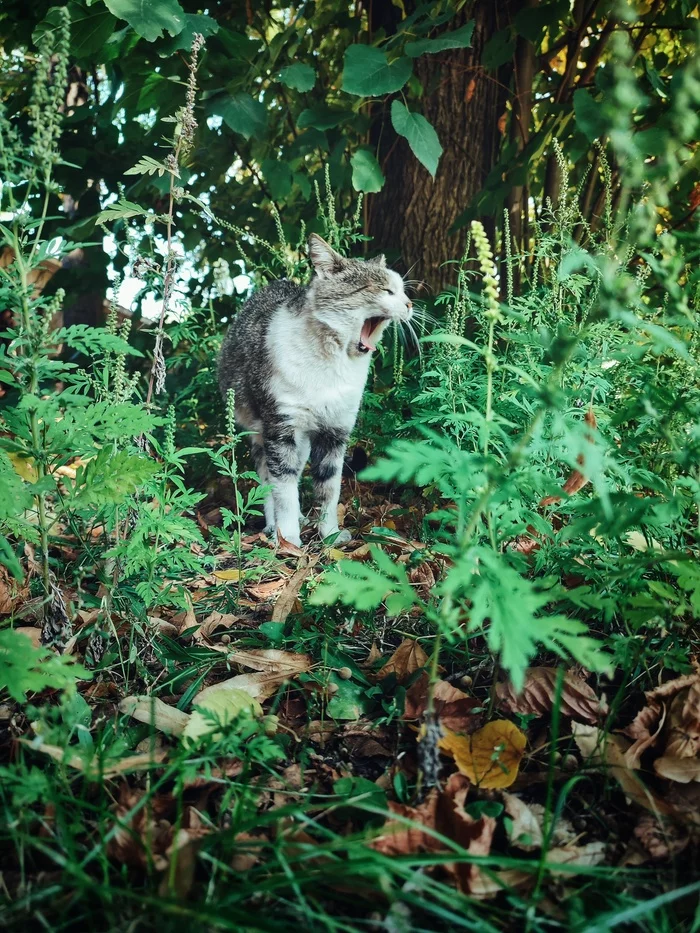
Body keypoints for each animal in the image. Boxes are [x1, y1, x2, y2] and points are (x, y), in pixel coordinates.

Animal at [219, 232, 412, 548]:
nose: (409, 305)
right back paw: (274, 527)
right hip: (261, 433)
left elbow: (329, 488)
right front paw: (288, 540)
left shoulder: (336, 430)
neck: (331, 364)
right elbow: (282, 488)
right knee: (268, 480)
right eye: (385, 290)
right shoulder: (280, 428)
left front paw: (329, 534)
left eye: (402, 291)